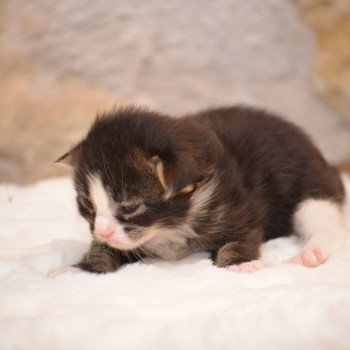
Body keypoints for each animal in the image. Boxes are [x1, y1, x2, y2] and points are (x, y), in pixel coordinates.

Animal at [54, 105, 348, 274]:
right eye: (87, 204)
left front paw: (241, 264)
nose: (101, 231)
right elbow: (104, 250)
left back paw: (310, 253)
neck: (168, 228)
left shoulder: (238, 206)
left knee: (327, 225)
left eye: (129, 206)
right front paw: (78, 270)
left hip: (313, 187)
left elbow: (241, 239)